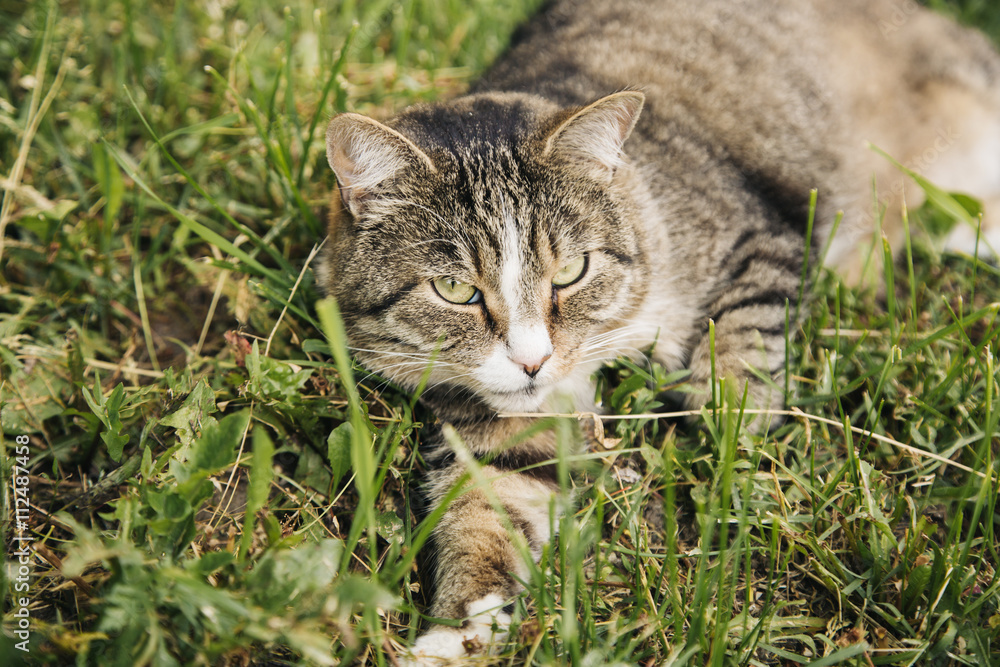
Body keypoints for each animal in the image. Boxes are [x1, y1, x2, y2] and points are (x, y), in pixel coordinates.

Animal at [318, 0, 1000, 660]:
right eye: (455, 290)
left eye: (571, 271)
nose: (533, 362)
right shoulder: (498, 430)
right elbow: (484, 518)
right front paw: (451, 636)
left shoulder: (767, 237)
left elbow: (739, 350)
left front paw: (724, 434)